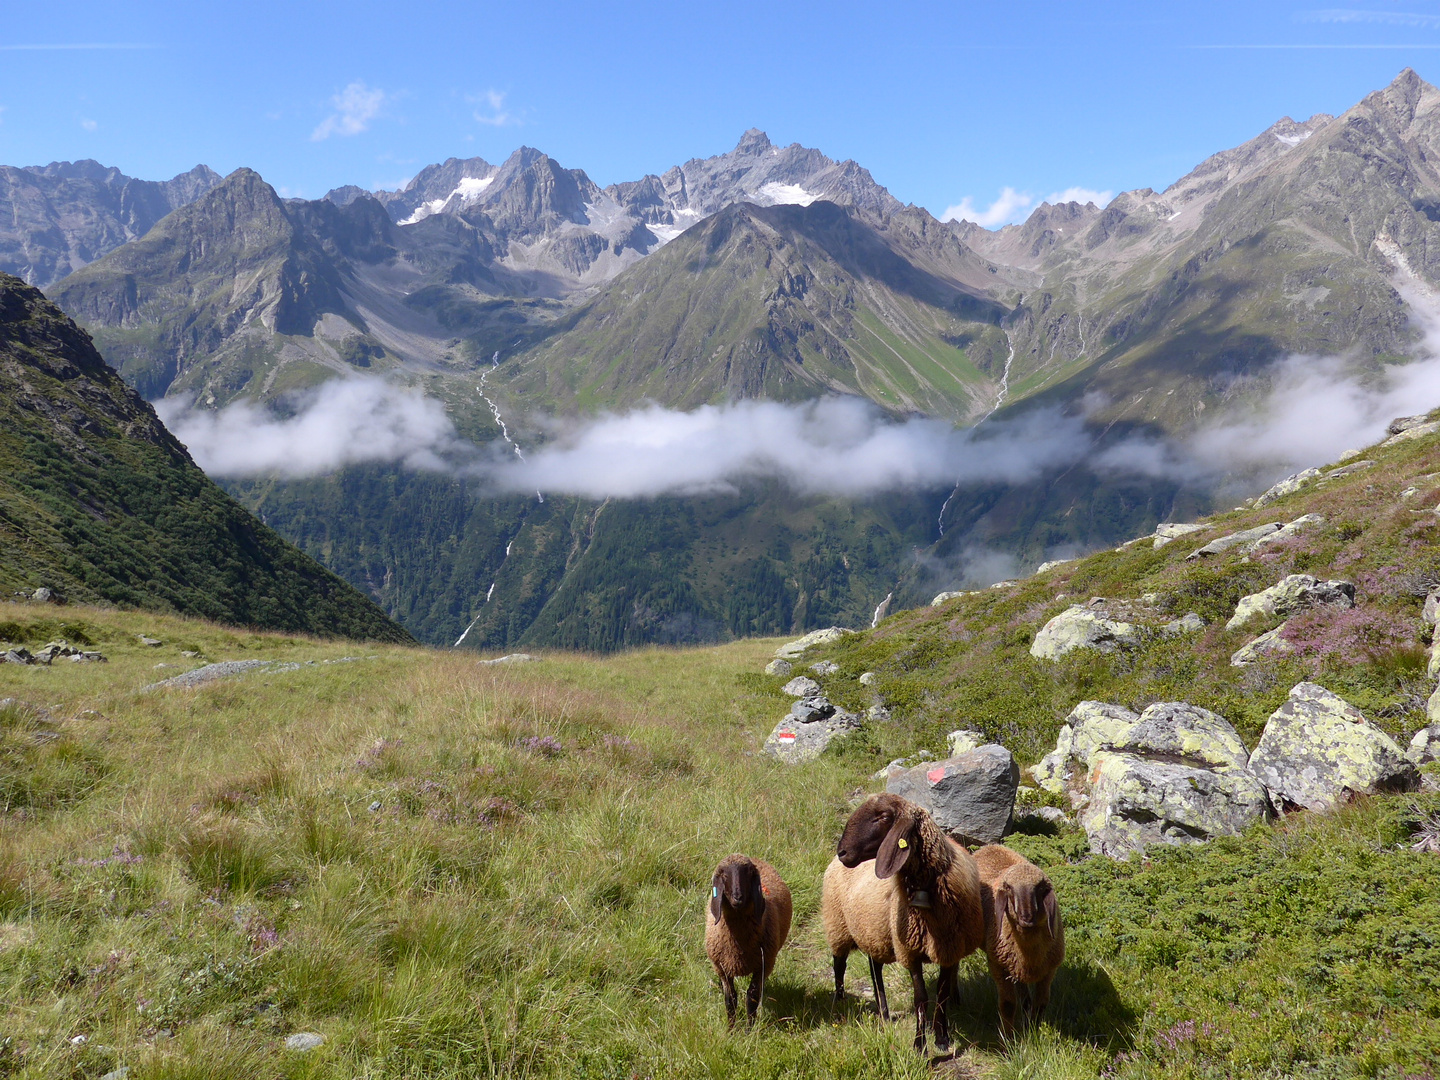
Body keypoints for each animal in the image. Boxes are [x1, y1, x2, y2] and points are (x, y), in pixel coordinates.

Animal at [702, 858, 794, 1025]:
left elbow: (752, 998)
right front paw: (731, 1029)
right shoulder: (722, 968)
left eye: (749, 873)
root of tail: (758, 858)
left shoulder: (763, 965)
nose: (738, 897)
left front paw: (749, 1029)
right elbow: (730, 1000)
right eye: (724, 875)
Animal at [823, 789, 990, 1054]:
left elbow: (942, 993)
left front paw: (941, 1037)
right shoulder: (910, 950)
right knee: (839, 964)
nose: (843, 853)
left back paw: (883, 1013)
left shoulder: (950, 948)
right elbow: (920, 998)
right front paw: (920, 1044)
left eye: (883, 817)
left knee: (874, 968)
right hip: (838, 925)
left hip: (874, 930)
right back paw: (840, 1002)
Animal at [973, 840, 1065, 1036]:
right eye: (1009, 888)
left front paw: (1034, 1031)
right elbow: (1008, 1004)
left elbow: (1041, 1003)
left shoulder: (1049, 970)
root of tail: (990, 845)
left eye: (1039, 888)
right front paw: (1008, 1038)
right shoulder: (998, 966)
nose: (1026, 917)